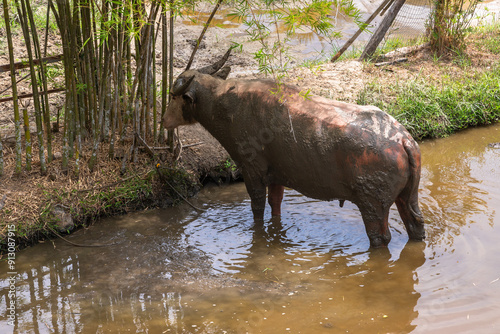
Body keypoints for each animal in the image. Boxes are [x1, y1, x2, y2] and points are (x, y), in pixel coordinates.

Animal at [164, 51, 426, 247]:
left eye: (173, 97)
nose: (164, 121)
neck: (225, 106)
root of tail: (403, 140)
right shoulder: (277, 176)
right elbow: (275, 204)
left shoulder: (252, 170)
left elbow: (257, 207)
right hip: (408, 196)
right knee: (417, 225)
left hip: (373, 204)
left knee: (380, 238)